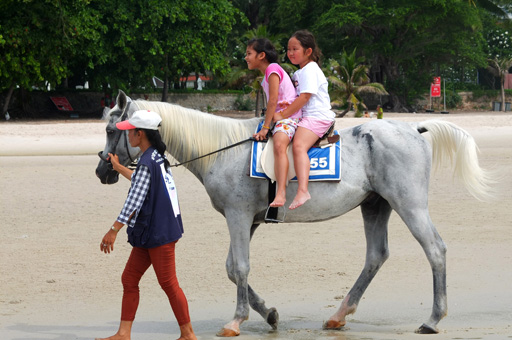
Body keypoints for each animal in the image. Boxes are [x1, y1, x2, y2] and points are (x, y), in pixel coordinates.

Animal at [95, 91, 492, 338]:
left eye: (112, 129)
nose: (103, 171)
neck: (223, 149)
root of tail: (412, 128)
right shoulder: (250, 220)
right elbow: (232, 268)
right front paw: (267, 313)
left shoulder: (238, 216)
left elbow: (240, 268)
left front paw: (236, 321)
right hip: (375, 205)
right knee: (376, 256)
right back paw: (338, 315)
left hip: (408, 204)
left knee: (435, 250)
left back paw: (433, 319)